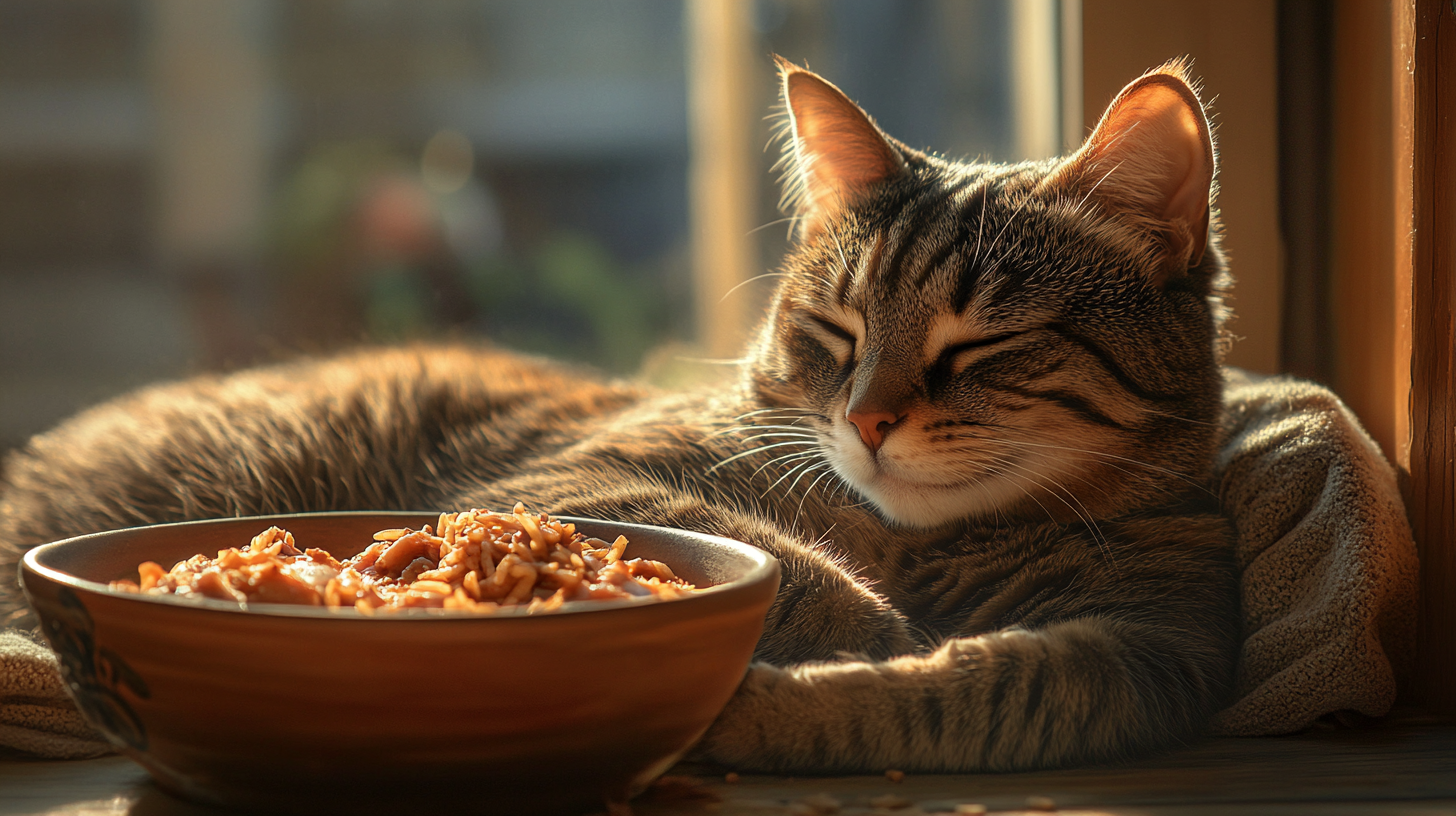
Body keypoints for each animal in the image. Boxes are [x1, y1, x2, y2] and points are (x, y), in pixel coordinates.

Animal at [0, 62, 1240, 769]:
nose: (868, 421)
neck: (916, 543)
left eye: (977, 346)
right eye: (835, 333)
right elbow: (795, 570)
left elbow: (970, 693)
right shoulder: (566, 484)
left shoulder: (1153, 653)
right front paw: (855, 627)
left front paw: (781, 706)